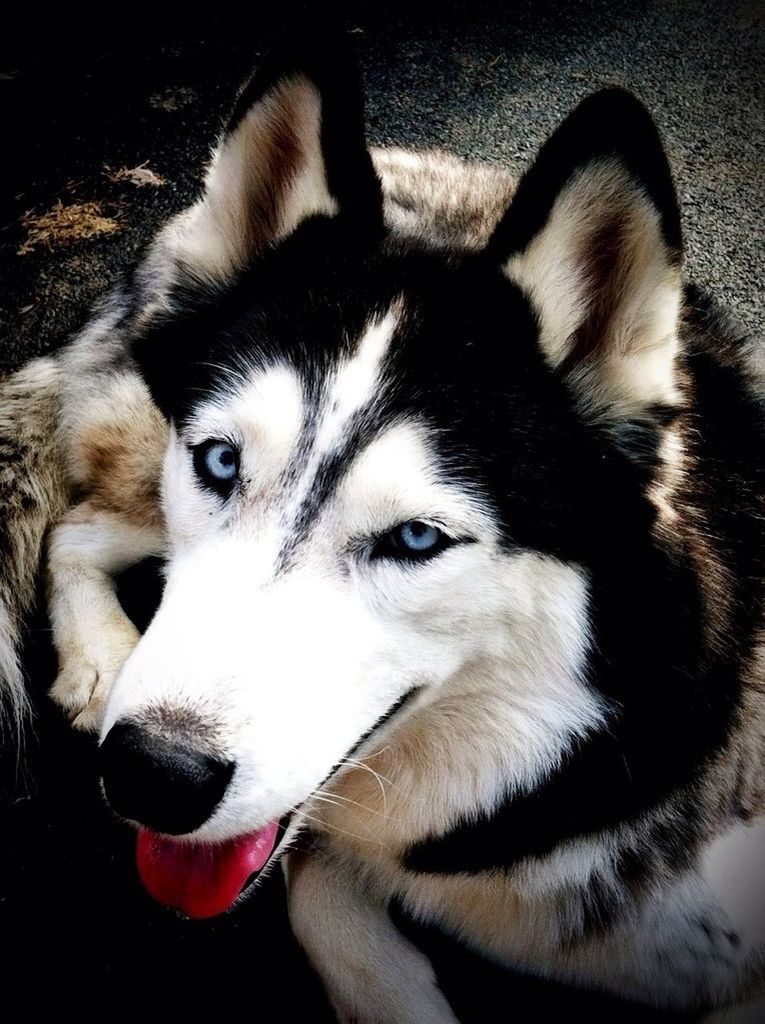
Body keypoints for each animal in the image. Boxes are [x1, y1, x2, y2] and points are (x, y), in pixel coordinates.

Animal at [1, 22, 765, 1015]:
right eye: (220, 462)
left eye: (415, 539)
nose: (150, 776)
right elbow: (326, 914)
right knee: (74, 524)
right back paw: (100, 659)